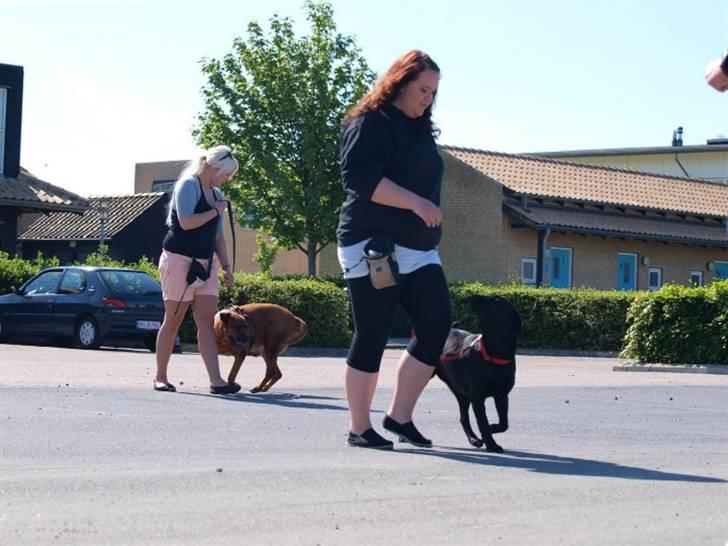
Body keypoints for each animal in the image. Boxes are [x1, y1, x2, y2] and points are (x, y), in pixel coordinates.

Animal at [436, 294, 520, 450]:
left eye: (496, 300)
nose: (473, 296)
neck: (495, 352)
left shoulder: (501, 395)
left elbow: (503, 424)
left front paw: (492, 428)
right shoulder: (478, 398)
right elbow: (483, 422)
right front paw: (492, 445)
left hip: (461, 394)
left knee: (463, 418)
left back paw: (474, 439)